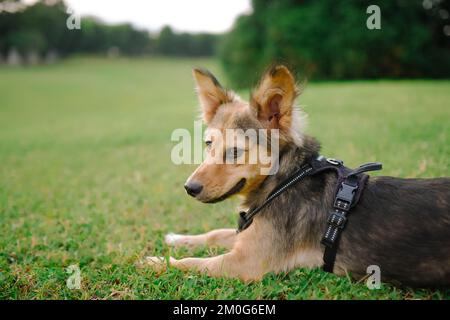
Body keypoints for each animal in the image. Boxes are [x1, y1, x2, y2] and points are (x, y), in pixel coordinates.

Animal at [146, 65, 448, 288]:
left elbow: (193, 263)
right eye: (208, 144)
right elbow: (214, 234)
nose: (189, 187)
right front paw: (177, 239)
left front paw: (157, 262)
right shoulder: (251, 237)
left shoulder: (245, 262)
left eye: (235, 151)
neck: (284, 180)